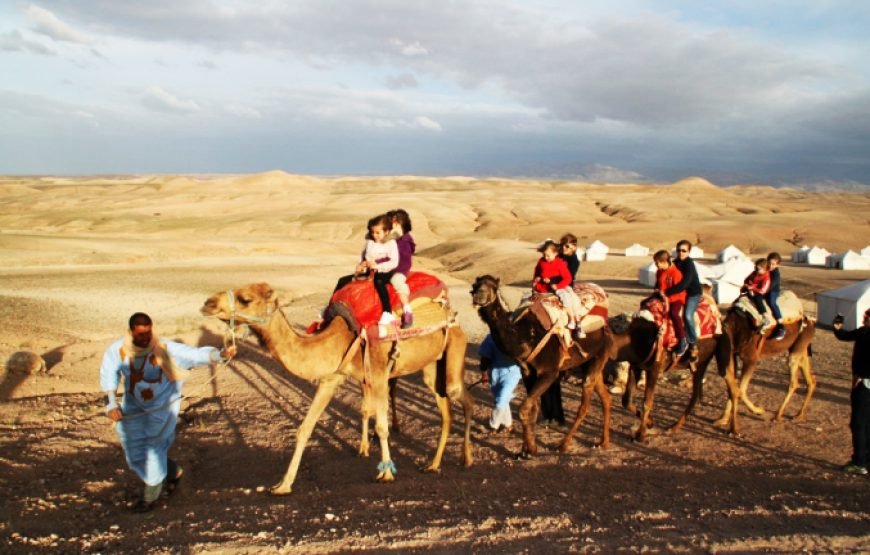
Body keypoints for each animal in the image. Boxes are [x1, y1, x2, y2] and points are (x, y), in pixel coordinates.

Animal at [201, 283, 474, 495]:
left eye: (245, 299)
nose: (207, 303)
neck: (339, 337)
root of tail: (451, 314)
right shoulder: (331, 378)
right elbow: (305, 428)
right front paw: (283, 485)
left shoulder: (378, 373)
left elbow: (381, 426)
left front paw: (386, 474)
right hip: (431, 367)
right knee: (446, 411)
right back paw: (433, 465)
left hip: (454, 350)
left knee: (463, 399)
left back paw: (467, 458)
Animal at [470, 275, 613, 457]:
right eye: (475, 286)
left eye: (493, 286)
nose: (479, 296)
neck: (526, 337)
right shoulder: (528, 373)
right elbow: (533, 408)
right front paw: (527, 450)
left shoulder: (549, 373)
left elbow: (524, 409)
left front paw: (529, 450)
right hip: (591, 360)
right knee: (605, 397)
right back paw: (603, 442)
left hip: (601, 353)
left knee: (585, 403)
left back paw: (563, 445)